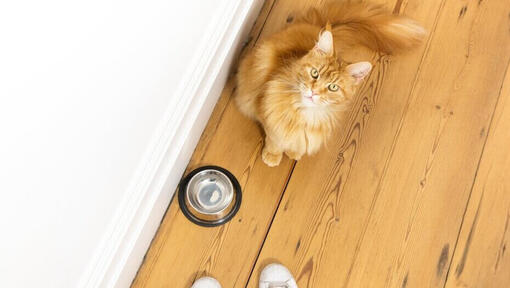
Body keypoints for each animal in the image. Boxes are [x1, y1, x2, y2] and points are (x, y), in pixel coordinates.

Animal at [236, 0, 426, 166]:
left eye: (332, 87)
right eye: (315, 73)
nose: (314, 92)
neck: (307, 115)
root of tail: (320, 26)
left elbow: (296, 143)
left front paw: (293, 152)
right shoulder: (269, 118)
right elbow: (274, 140)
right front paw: (272, 156)